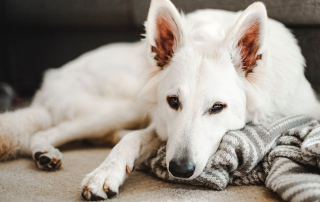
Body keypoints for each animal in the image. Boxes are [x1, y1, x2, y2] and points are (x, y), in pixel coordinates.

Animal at [0, 0, 320, 200]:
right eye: (173, 101)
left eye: (217, 108)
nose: (180, 169)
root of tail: (52, 76)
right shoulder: (161, 125)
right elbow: (131, 140)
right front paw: (105, 172)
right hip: (124, 105)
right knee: (48, 130)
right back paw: (45, 152)